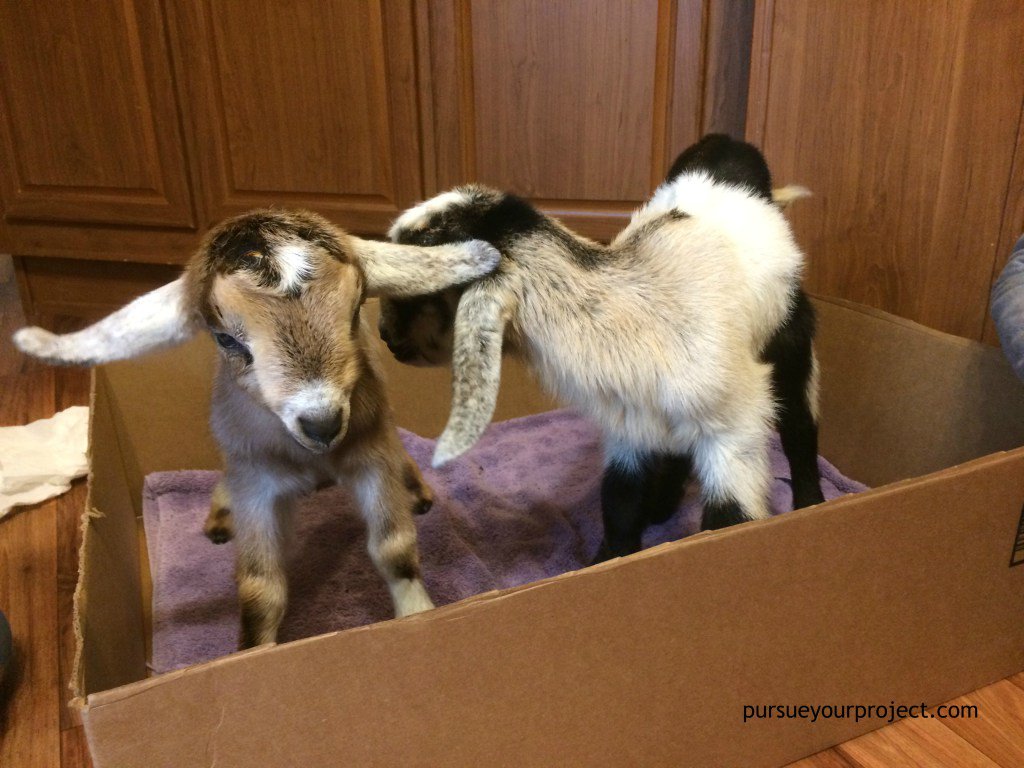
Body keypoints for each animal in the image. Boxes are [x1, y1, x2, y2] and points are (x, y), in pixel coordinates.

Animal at [14, 209, 500, 647]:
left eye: (353, 313)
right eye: (226, 338)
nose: (322, 423)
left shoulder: (370, 454)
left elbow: (394, 548)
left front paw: (417, 613)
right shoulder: (255, 483)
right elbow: (259, 587)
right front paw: (253, 651)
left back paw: (417, 491)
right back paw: (218, 519)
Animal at [378, 135, 820, 561]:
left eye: (415, 289)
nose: (383, 335)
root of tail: (731, 148)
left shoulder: (734, 436)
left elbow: (730, 522)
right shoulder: (629, 426)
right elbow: (619, 503)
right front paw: (609, 558)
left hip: (792, 340)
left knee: (801, 426)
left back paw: (812, 503)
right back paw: (663, 505)